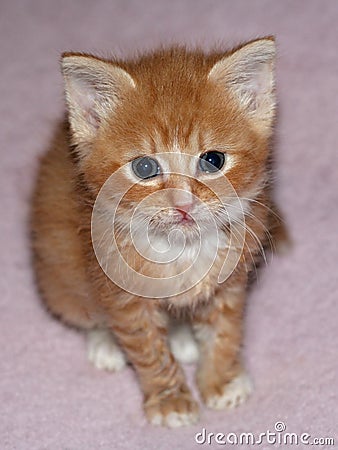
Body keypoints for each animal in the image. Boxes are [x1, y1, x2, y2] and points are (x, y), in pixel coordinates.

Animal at [32, 37, 278, 426]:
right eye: (145, 168)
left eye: (213, 160)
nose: (183, 203)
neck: (180, 248)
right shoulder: (120, 293)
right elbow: (147, 347)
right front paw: (170, 398)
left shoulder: (230, 280)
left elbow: (224, 330)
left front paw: (221, 380)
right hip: (58, 276)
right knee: (84, 312)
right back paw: (106, 345)